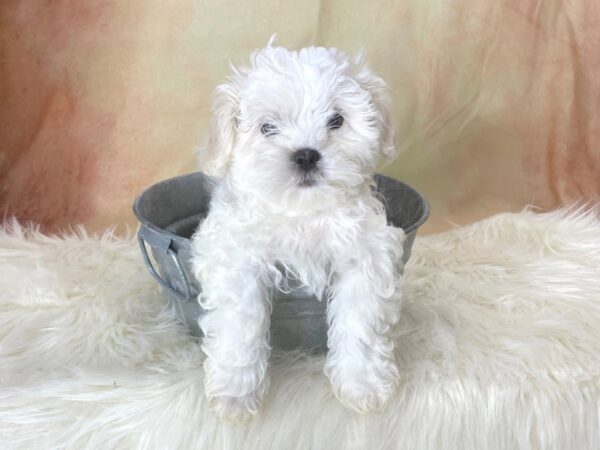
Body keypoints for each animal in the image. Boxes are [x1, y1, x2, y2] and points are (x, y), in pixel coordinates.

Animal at [191, 42, 408, 422]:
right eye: (267, 127)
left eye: (336, 120)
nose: (306, 155)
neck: (302, 212)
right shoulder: (236, 259)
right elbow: (240, 323)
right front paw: (236, 394)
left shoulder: (366, 256)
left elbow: (360, 322)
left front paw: (363, 386)